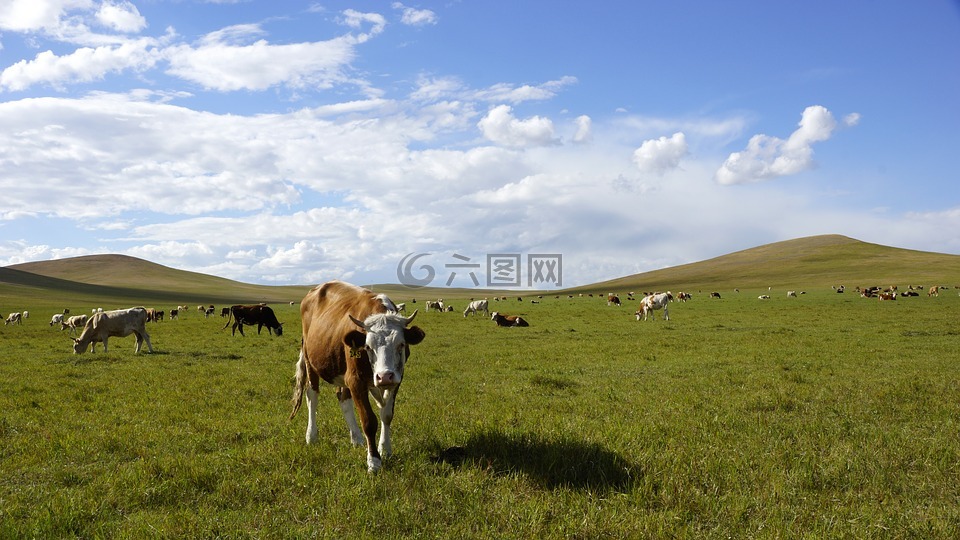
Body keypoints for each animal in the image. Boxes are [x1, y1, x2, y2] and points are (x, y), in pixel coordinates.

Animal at [288, 282, 424, 472]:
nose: (384, 376)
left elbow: (386, 415)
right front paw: (374, 461)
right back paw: (311, 436)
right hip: (311, 362)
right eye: (367, 347)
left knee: (343, 398)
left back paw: (357, 439)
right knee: (312, 396)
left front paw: (385, 449)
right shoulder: (356, 381)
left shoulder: (397, 379)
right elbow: (368, 420)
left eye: (401, 344)